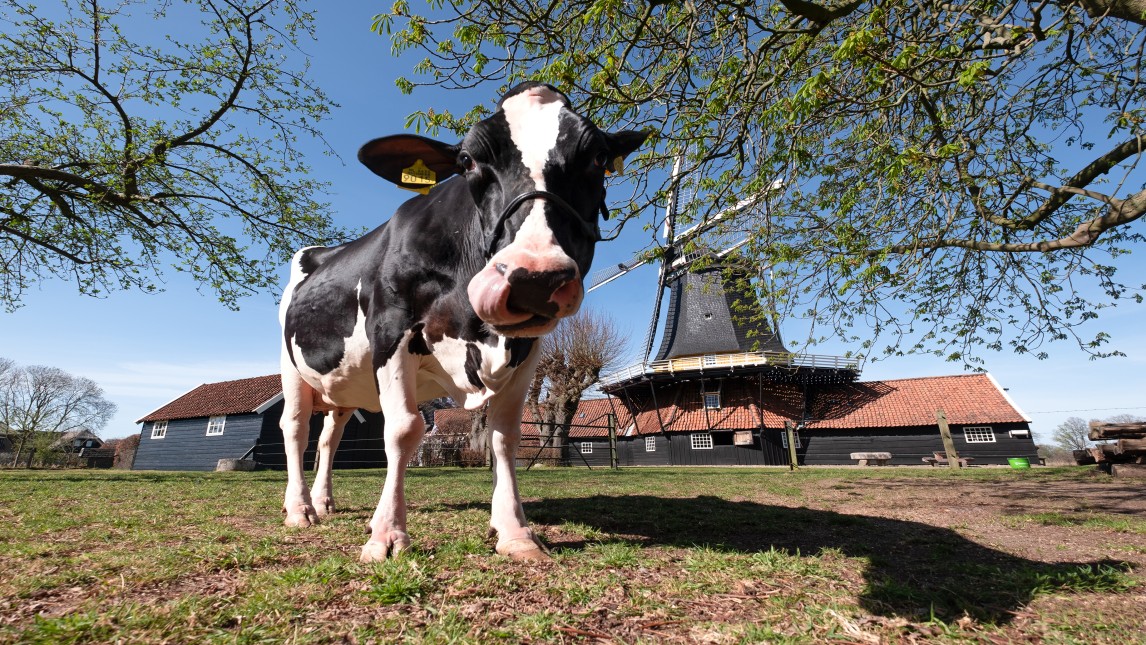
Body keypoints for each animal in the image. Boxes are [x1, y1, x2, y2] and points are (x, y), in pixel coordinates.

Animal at [279, 83, 646, 563]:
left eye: (598, 157)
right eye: (468, 160)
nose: (534, 276)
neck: (477, 330)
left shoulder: (529, 348)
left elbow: (504, 436)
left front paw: (514, 531)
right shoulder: (391, 330)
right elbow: (403, 430)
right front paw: (386, 534)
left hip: (343, 383)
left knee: (330, 435)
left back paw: (324, 501)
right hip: (290, 368)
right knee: (296, 429)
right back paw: (300, 508)